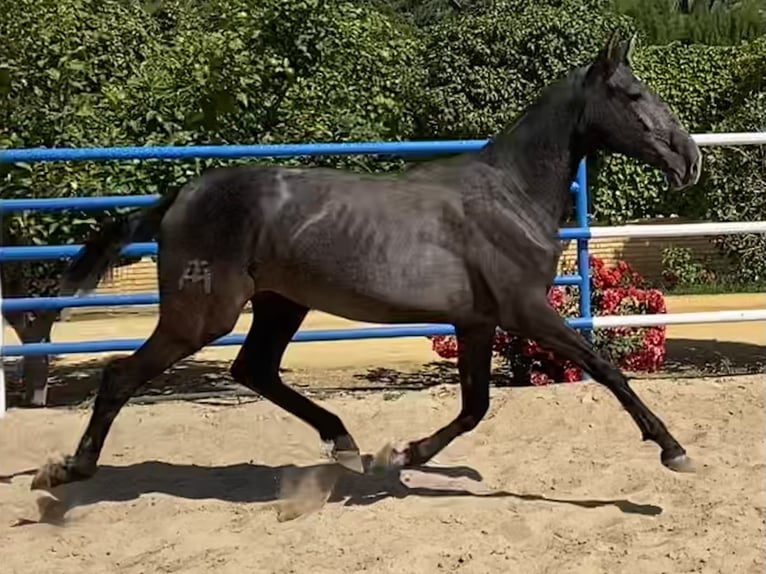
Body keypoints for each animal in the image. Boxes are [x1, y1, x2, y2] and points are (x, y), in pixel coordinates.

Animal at [30, 29, 704, 492]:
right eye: (633, 94)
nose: (690, 159)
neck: (509, 195)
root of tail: (182, 195)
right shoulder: (525, 311)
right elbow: (606, 368)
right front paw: (673, 450)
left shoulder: (476, 322)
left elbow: (475, 407)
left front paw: (402, 455)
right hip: (203, 314)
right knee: (122, 376)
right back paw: (66, 472)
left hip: (281, 303)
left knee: (254, 370)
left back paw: (346, 445)